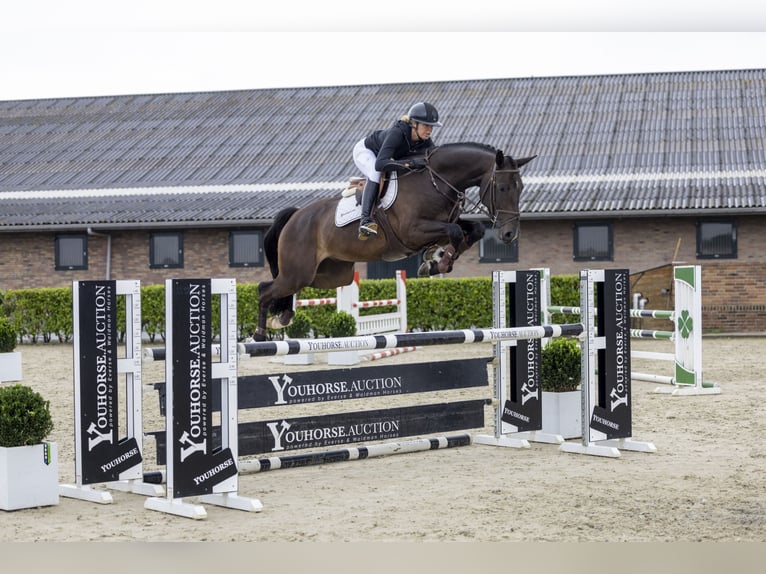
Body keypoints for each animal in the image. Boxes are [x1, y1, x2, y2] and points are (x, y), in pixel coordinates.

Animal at [255, 143, 536, 342]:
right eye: (502, 187)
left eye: (520, 187)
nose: (509, 235)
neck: (436, 181)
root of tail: (296, 216)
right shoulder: (412, 232)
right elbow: (456, 232)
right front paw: (437, 261)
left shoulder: (444, 224)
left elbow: (472, 230)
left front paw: (434, 260)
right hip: (299, 271)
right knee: (264, 289)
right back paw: (260, 333)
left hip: (329, 275)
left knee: (282, 287)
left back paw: (283, 317)